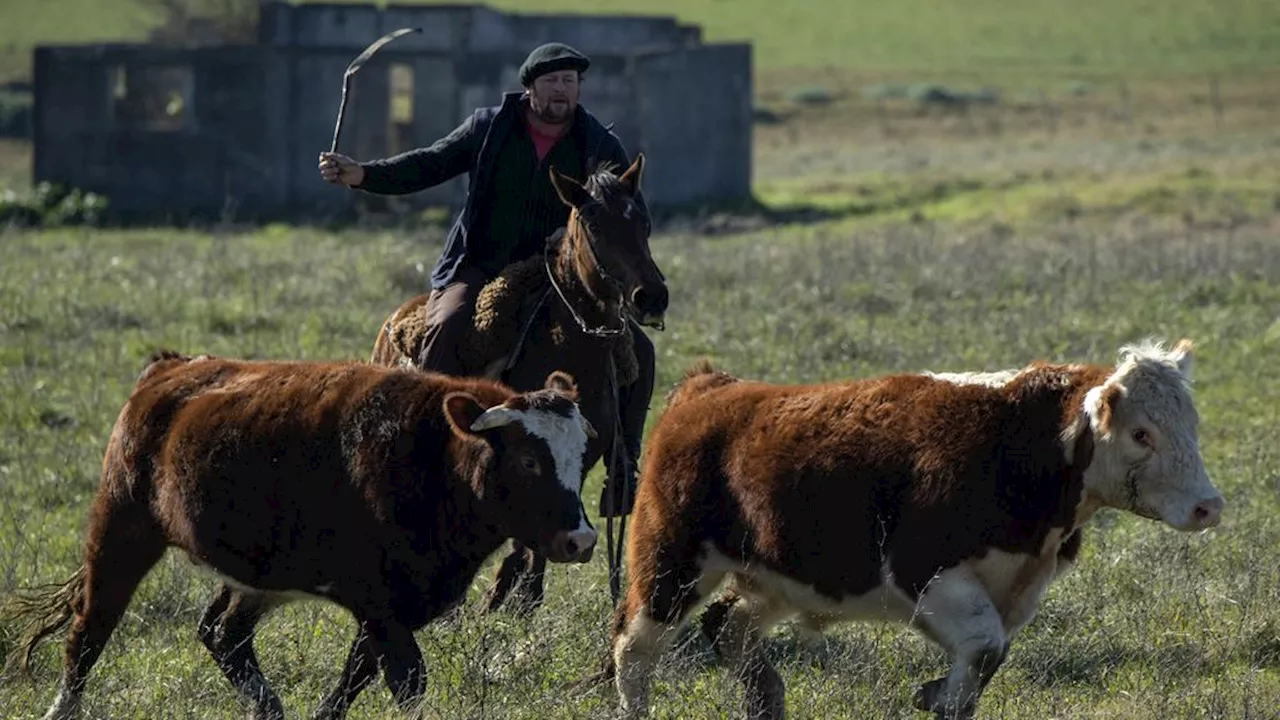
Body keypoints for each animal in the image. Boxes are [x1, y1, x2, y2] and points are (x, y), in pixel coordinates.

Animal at [6, 348, 599, 717]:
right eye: (527, 460)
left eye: (582, 456)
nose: (582, 540)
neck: (430, 452)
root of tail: (169, 370)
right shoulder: (379, 603)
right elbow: (407, 680)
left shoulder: (391, 606)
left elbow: (356, 675)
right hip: (123, 528)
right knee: (90, 631)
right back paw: (61, 707)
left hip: (254, 577)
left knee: (223, 635)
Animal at [606, 338, 1218, 717]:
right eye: (1141, 433)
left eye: (1191, 424)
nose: (1208, 506)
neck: (1021, 442)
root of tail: (711, 389)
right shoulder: (926, 573)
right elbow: (984, 647)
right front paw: (934, 695)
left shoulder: (1020, 588)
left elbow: (983, 664)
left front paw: (941, 696)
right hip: (668, 565)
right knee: (634, 650)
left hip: (774, 581)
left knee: (727, 627)